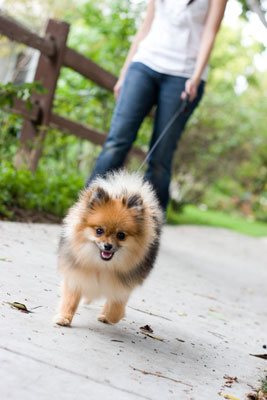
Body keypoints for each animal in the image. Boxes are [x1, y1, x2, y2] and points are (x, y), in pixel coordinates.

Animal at [54, 170, 163, 326]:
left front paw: (109, 316)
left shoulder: (122, 285)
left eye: (121, 235)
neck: (102, 265)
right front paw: (64, 317)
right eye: (99, 231)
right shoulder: (76, 275)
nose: (108, 245)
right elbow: (70, 299)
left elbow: (116, 305)